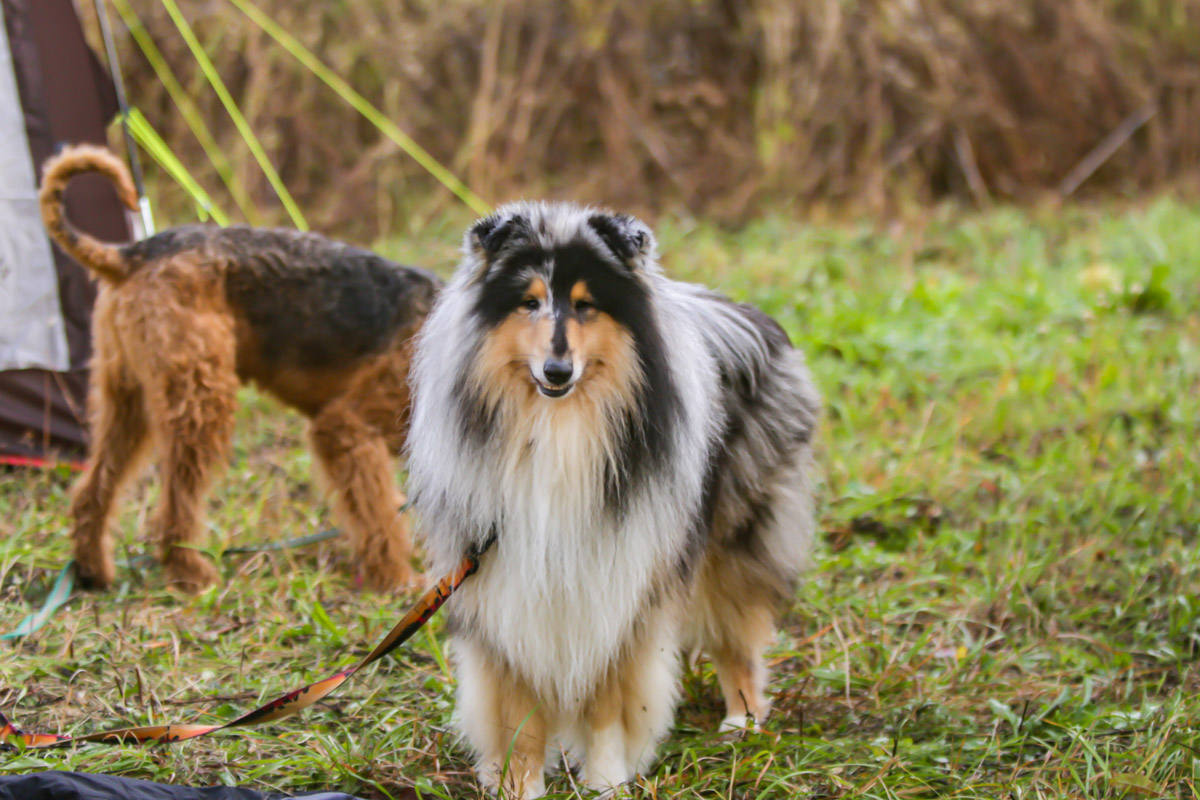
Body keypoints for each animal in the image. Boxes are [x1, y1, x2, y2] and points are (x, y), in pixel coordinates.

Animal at [36, 145, 441, 594]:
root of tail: (133, 254)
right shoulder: (347, 427)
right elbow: (379, 516)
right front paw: (396, 579)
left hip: (127, 397)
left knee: (93, 491)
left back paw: (94, 570)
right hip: (198, 397)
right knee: (174, 506)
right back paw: (191, 573)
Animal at [408, 203, 820, 796]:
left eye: (586, 305)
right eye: (528, 302)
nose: (557, 371)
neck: (557, 426)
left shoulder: (619, 579)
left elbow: (607, 701)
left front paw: (606, 781)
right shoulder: (501, 584)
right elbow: (516, 710)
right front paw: (520, 785)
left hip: (735, 536)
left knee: (736, 633)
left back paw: (741, 722)